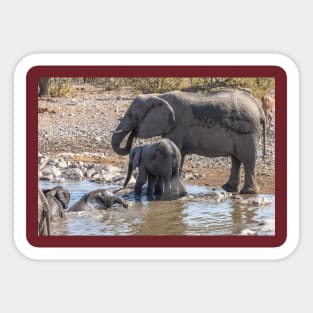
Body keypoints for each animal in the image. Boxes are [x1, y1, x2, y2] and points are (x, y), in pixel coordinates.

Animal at [111, 89, 264, 194]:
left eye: (131, 115)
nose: (134, 132)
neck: (159, 96)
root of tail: (258, 107)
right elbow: (180, 154)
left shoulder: (177, 125)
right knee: (236, 159)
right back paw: (229, 188)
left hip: (247, 131)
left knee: (247, 160)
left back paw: (248, 192)